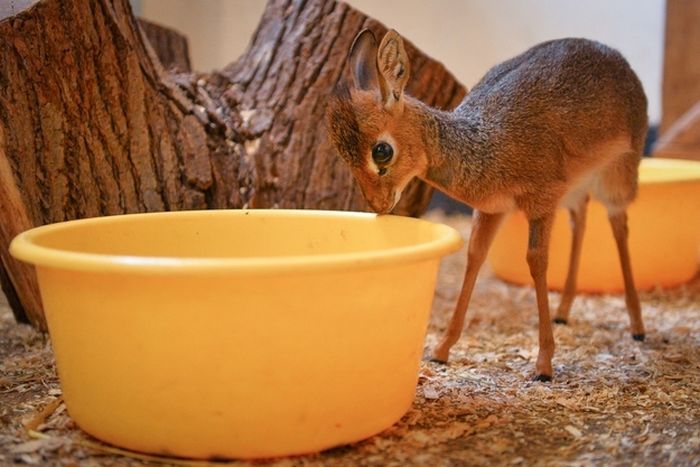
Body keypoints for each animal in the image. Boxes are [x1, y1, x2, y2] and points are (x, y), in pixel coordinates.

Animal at [326, 29, 648, 382]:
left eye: (381, 151)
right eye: (342, 154)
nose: (379, 204)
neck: (484, 145)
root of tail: (621, 63)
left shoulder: (541, 200)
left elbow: (536, 260)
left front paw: (543, 364)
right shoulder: (493, 208)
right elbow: (475, 256)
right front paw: (441, 350)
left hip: (618, 175)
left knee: (619, 225)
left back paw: (638, 327)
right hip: (577, 188)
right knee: (581, 219)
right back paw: (564, 311)